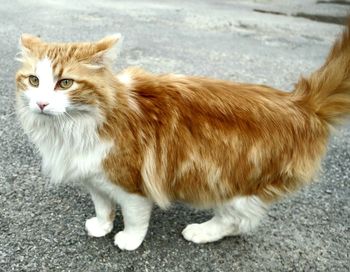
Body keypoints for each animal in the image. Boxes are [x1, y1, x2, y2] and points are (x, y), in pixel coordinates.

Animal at [15, 19, 350, 252]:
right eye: (33, 80)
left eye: (65, 83)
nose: (41, 103)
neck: (74, 127)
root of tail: (300, 102)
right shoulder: (94, 177)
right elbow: (103, 206)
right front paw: (101, 226)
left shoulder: (132, 184)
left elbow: (135, 218)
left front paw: (128, 240)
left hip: (232, 181)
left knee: (235, 220)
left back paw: (200, 232)